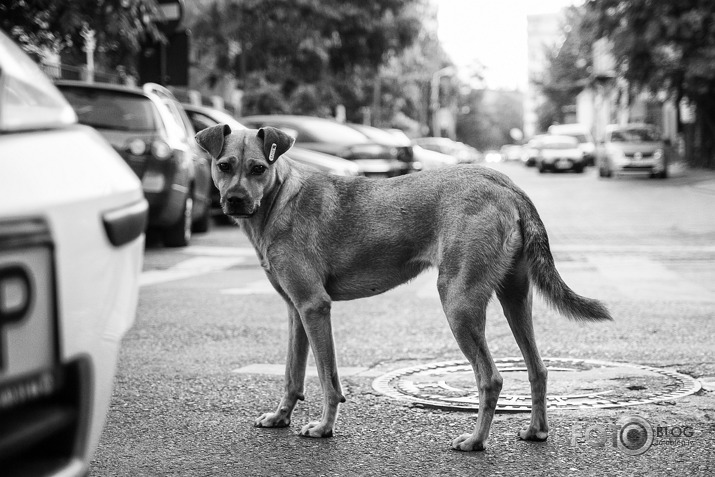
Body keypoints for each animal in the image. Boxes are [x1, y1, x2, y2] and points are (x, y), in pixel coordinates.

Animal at [197, 122, 616, 450]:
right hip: (515, 299)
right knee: (538, 369)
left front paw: (324, 427)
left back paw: (476, 441)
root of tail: (504, 183)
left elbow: (328, 379)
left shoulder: (315, 307)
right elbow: (292, 375)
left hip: (458, 302)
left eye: (258, 168)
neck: (280, 198)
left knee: (491, 378)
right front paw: (280, 417)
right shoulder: (295, 311)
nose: (234, 201)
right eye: (224, 166)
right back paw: (536, 431)